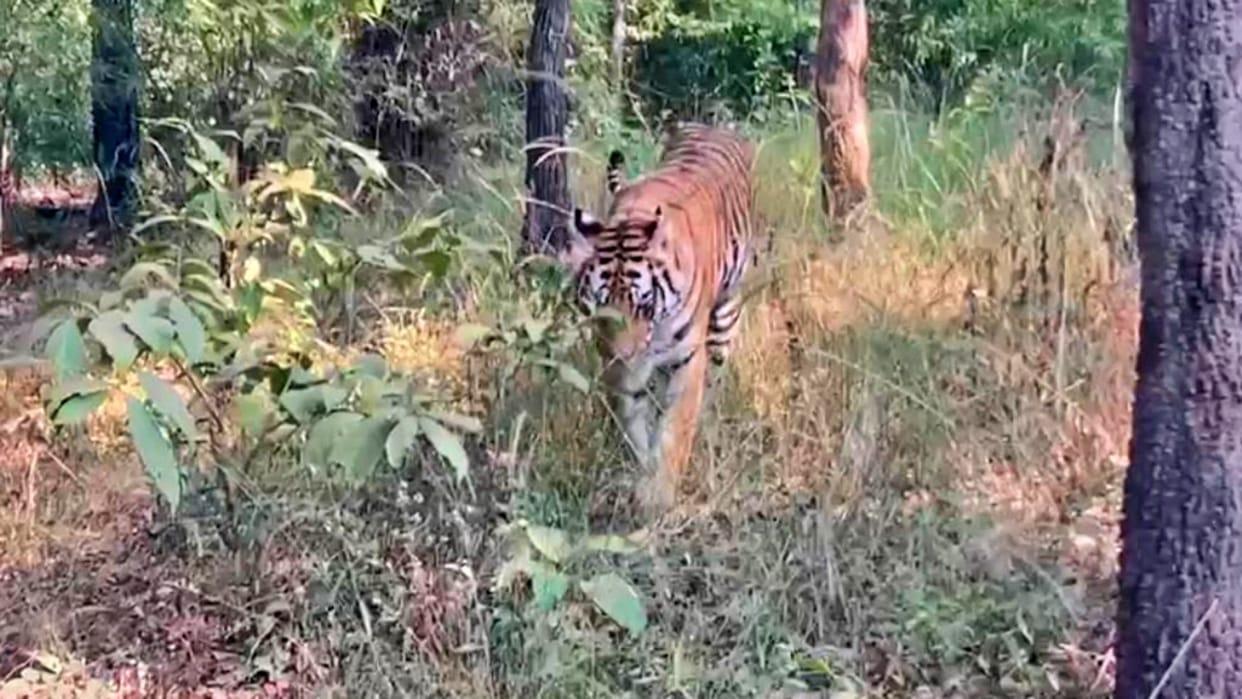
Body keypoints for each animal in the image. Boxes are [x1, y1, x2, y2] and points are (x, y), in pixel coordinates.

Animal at [560, 123, 756, 516]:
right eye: (600, 306)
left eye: (644, 304)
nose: (623, 359)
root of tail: (713, 126)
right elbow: (635, 421)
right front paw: (643, 473)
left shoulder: (686, 360)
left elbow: (674, 430)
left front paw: (659, 495)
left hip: (726, 316)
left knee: (715, 376)